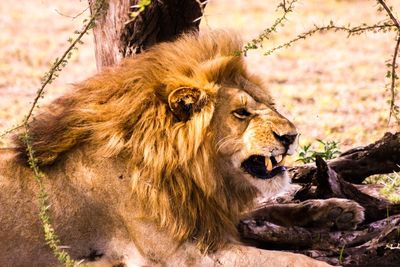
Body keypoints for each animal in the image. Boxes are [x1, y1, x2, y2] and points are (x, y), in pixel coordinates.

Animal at [0, 30, 362, 266]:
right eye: (241, 113)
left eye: (270, 105)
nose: (292, 136)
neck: (189, 174)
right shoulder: (185, 255)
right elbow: (294, 260)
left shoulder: (209, 216)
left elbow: (271, 209)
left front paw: (338, 210)